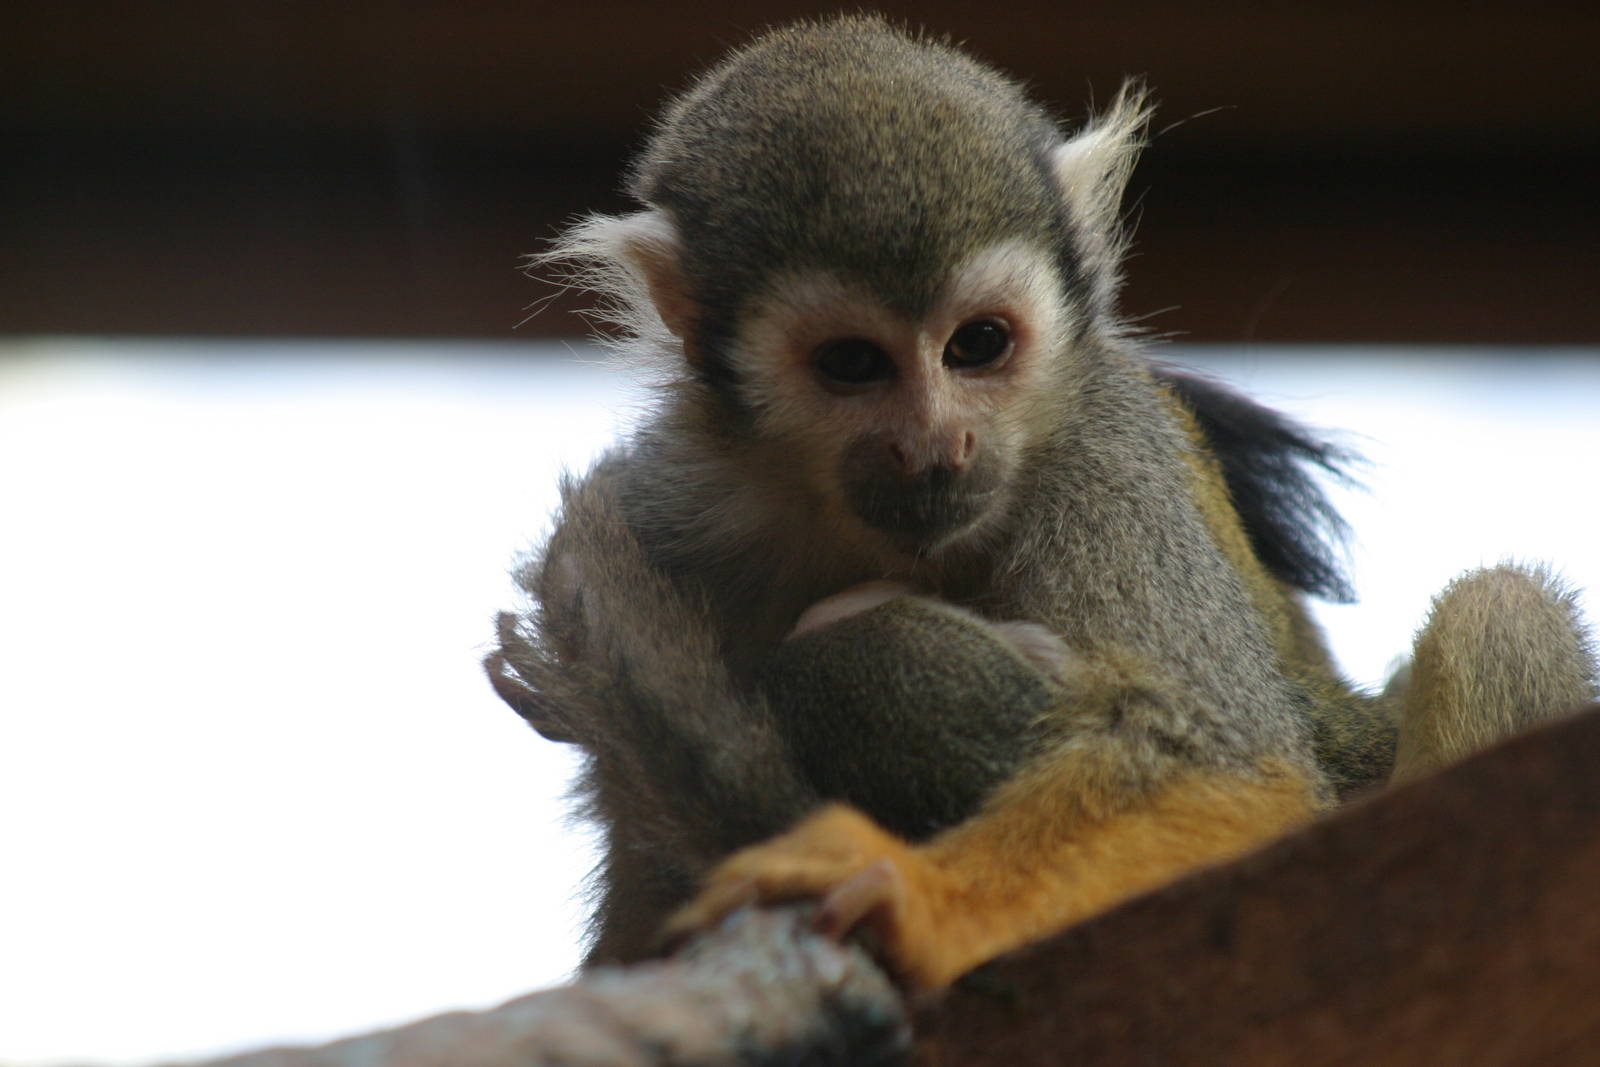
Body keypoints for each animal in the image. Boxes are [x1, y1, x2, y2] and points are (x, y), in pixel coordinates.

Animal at [486, 15, 1597, 990]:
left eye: (977, 345)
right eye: (852, 365)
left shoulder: (1099, 445)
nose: (935, 446)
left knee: (1499, 610)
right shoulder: (675, 494)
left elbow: (1217, 761)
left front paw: (911, 892)